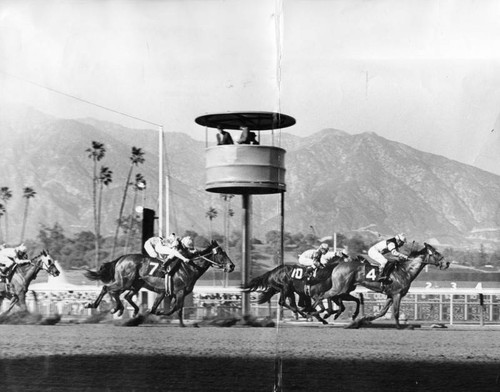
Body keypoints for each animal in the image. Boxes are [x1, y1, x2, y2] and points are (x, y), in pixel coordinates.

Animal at [84, 240, 234, 326]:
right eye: (220, 253)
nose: (232, 266)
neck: (189, 266)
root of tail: (122, 258)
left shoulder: (165, 292)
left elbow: (162, 307)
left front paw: (157, 312)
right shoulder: (179, 292)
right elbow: (176, 308)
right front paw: (175, 321)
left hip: (135, 284)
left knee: (124, 295)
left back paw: (127, 310)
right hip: (124, 282)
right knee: (108, 288)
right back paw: (106, 307)